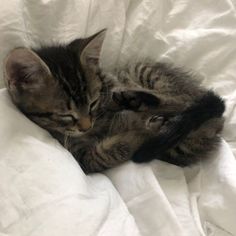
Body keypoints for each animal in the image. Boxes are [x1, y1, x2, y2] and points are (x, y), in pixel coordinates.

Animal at [4, 29, 225, 173]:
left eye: (92, 104)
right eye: (66, 115)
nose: (86, 126)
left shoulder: (111, 82)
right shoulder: (84, 158)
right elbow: (116, 150)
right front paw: (144, 130)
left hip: (141, 69)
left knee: (185, 100)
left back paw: (138, 100)